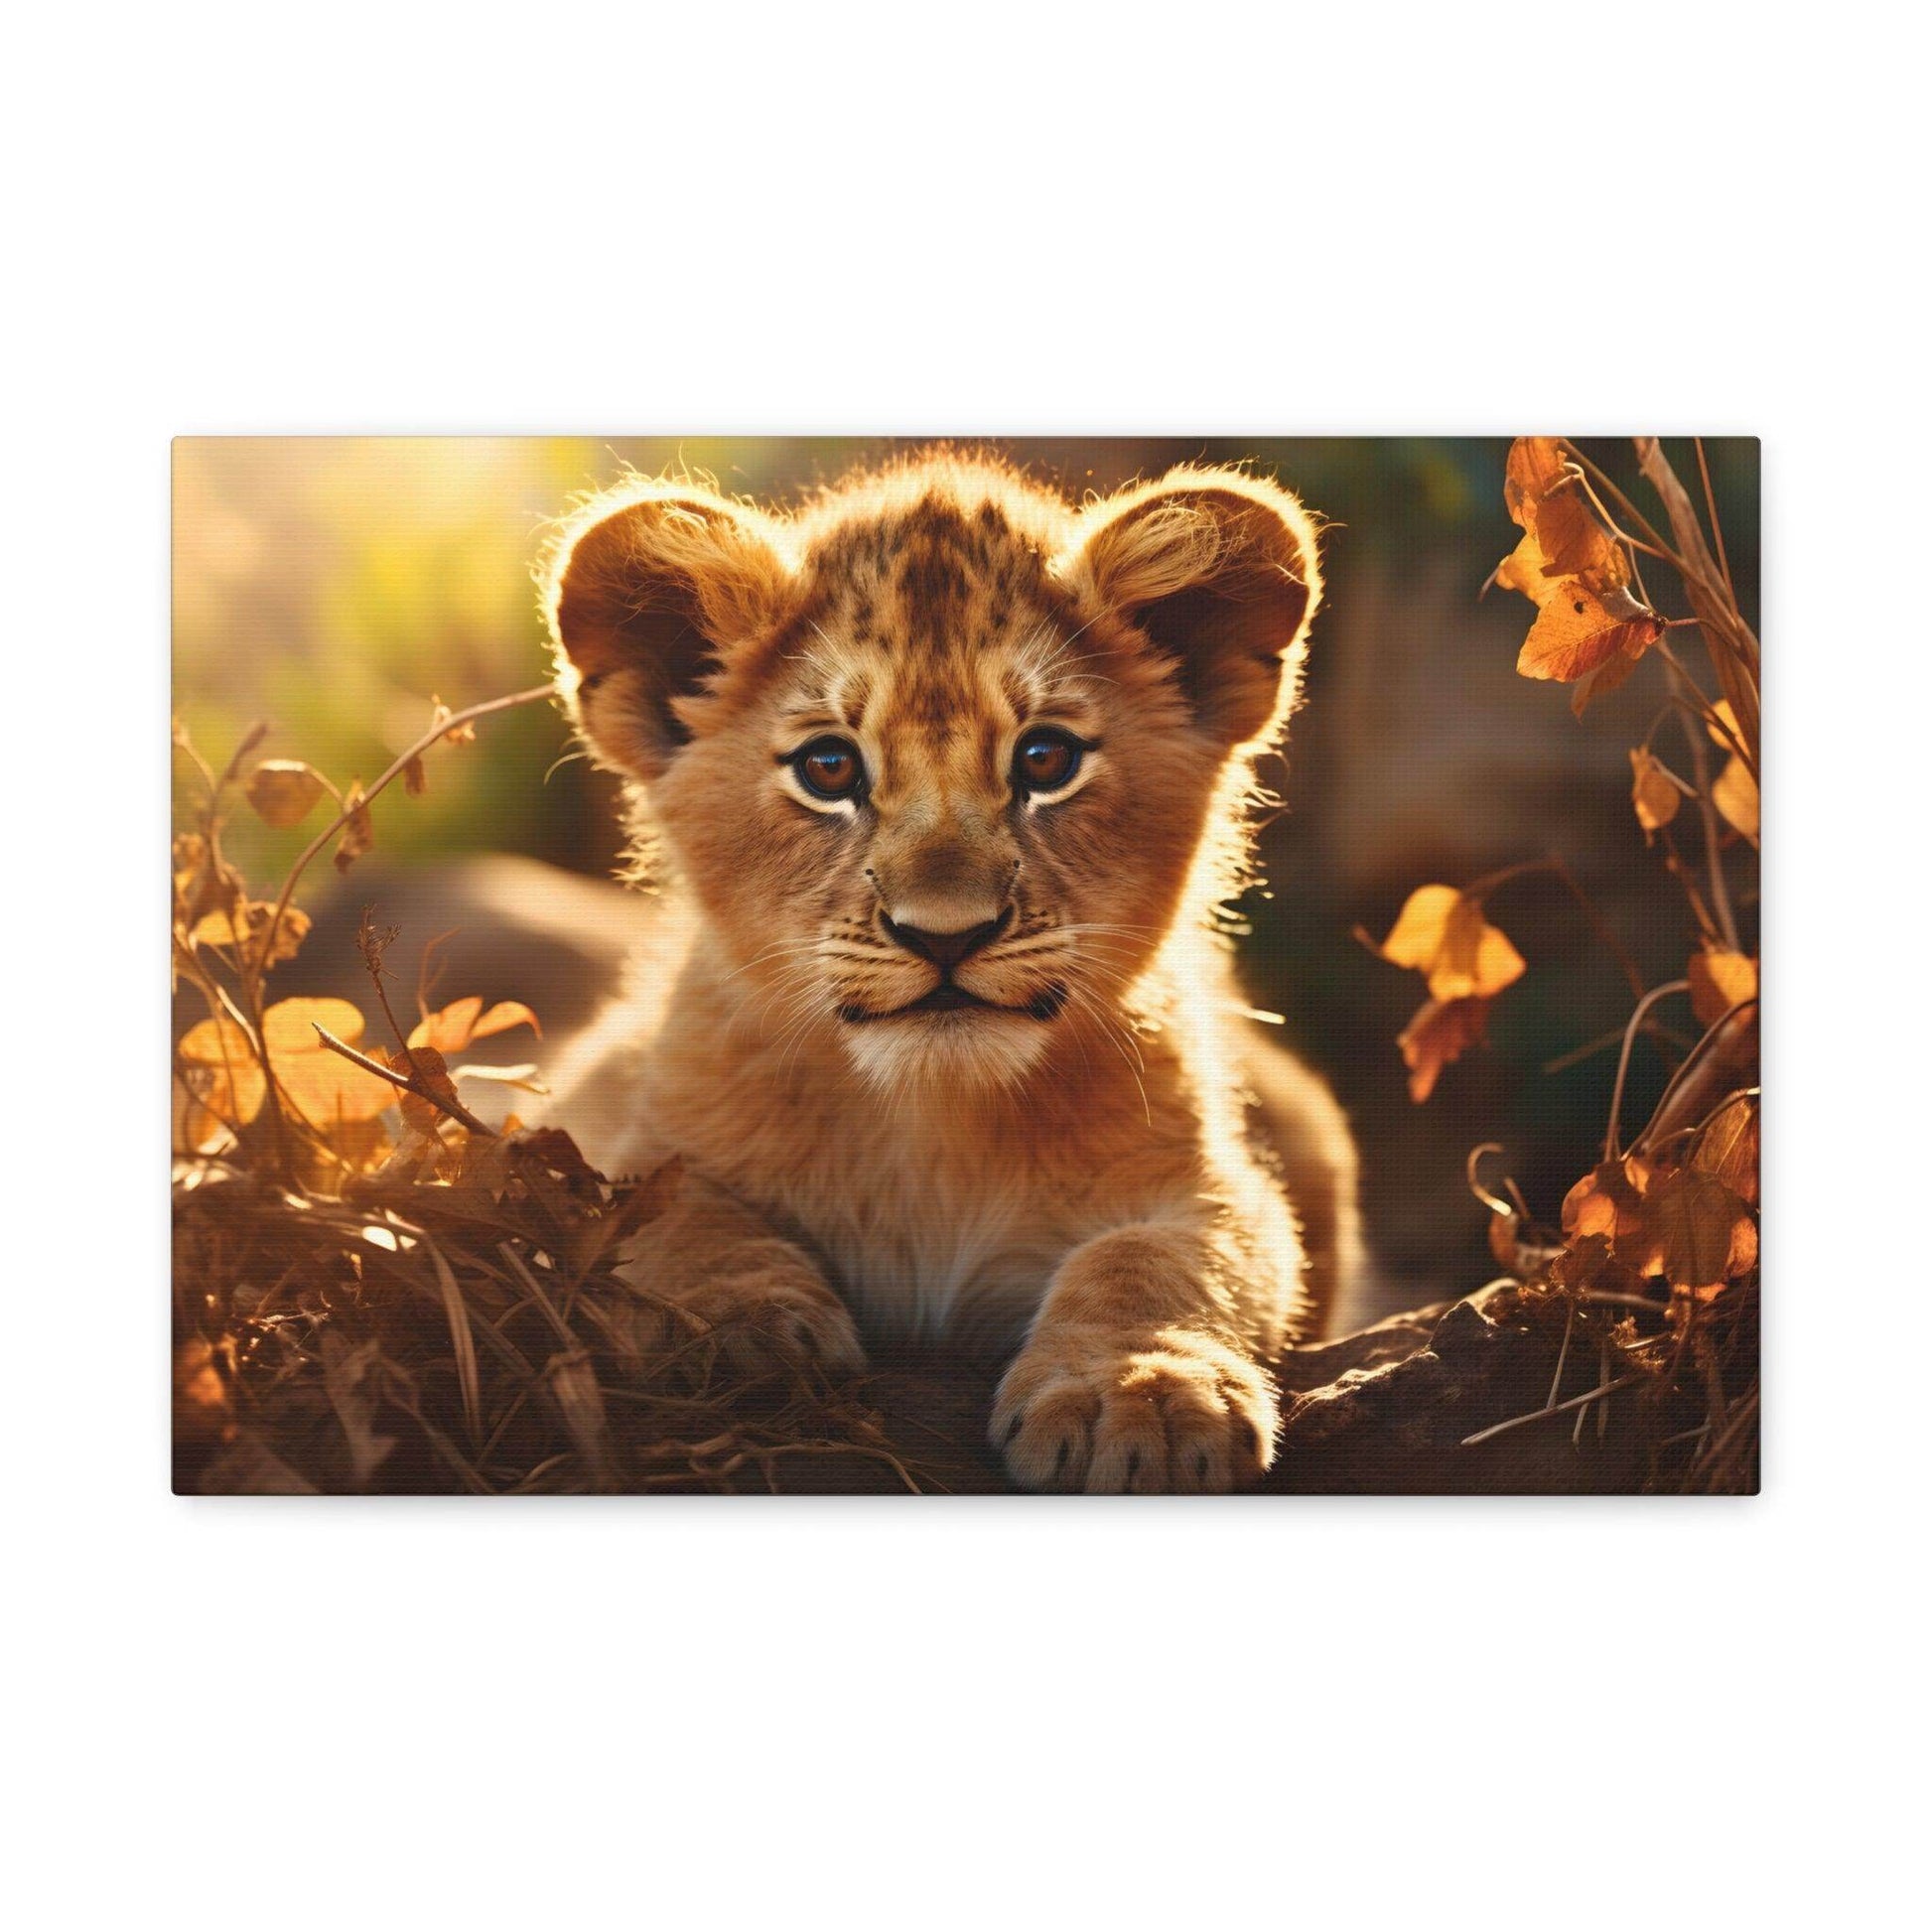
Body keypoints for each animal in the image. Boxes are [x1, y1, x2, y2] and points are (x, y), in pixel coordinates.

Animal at [540, 448, 1361, 1492]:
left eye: (1046, 759)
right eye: (829, 768)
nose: (944, 935)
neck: (930, 1127)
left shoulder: (1214, 1182)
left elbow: (1159, 1257)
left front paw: (1139, 1393)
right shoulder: (612, 1127)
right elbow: (669, 1210)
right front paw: (734, 1327)